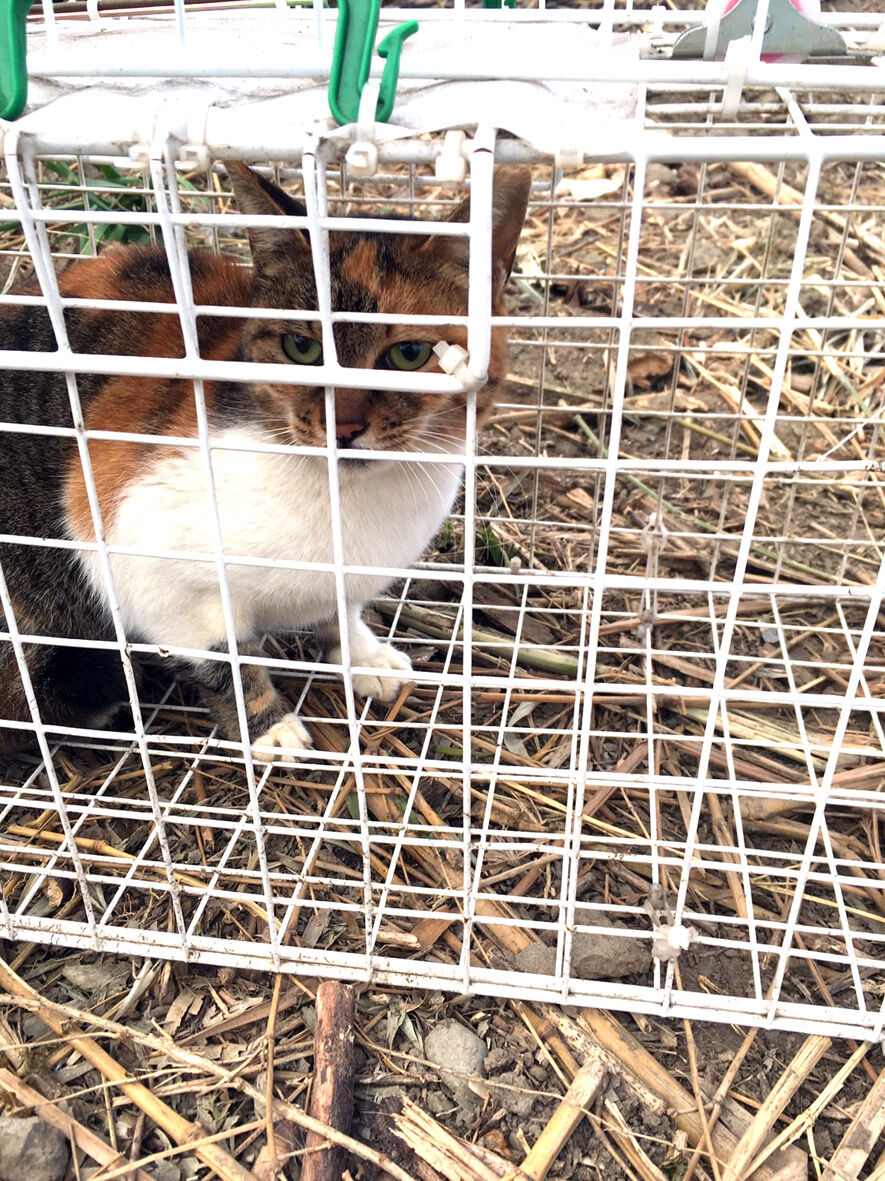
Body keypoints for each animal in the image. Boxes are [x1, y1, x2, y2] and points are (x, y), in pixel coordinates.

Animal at [0, 162, 531, 757]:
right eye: (302, 348)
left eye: (410, 354)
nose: (343, 426)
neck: (347, 504)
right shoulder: (138, 553)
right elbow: (225, 658)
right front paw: (269, 728)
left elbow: (342, 611)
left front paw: (363, 655)